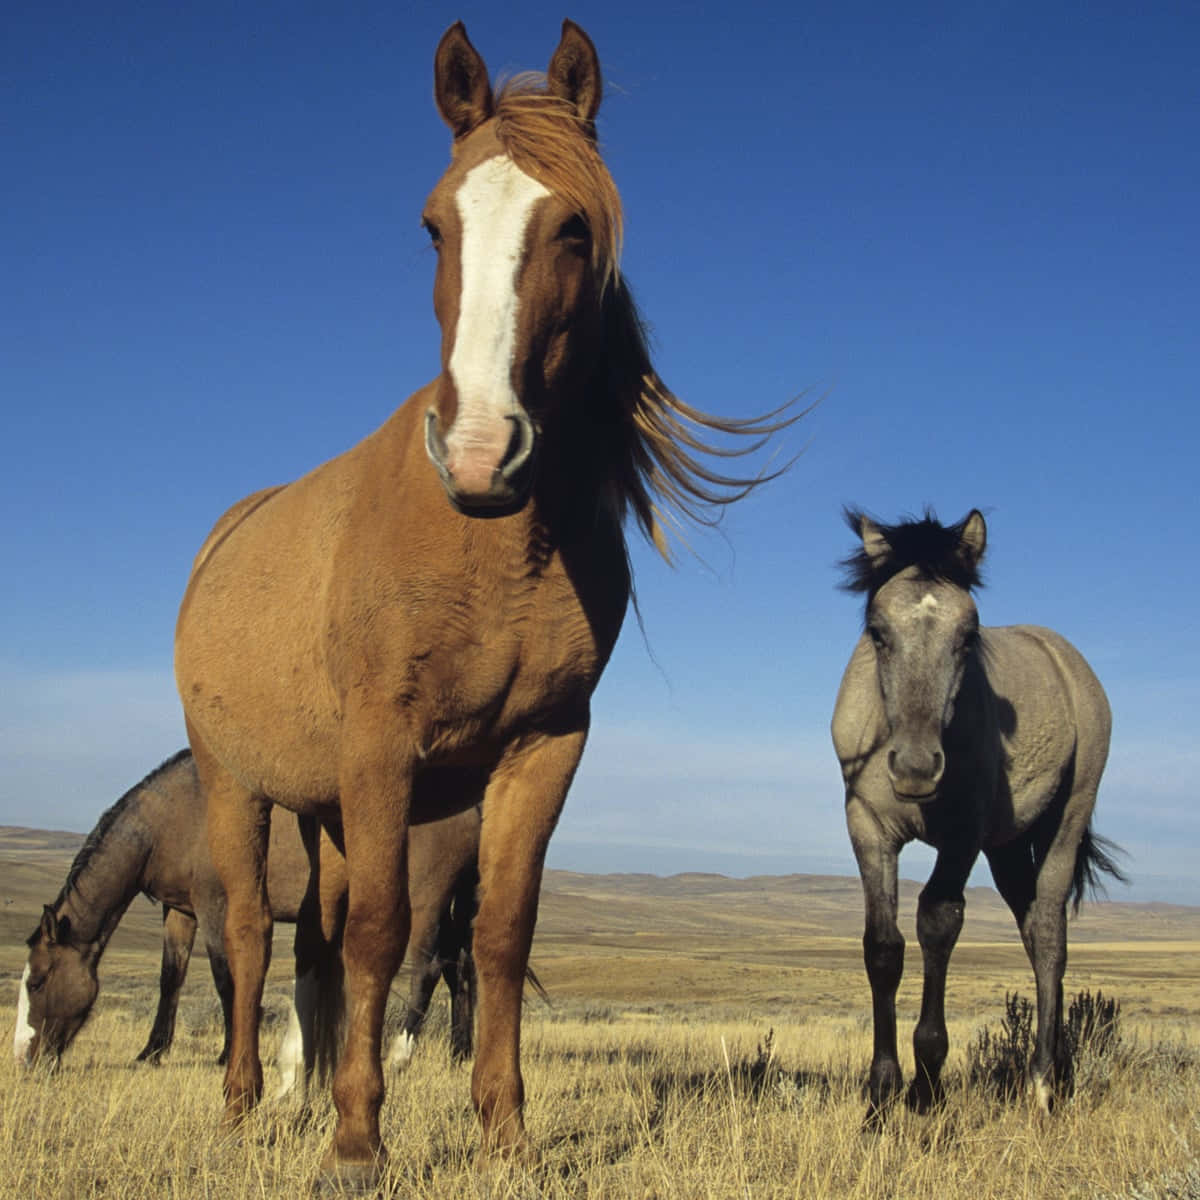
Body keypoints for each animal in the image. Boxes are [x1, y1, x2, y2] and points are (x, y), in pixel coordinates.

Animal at [14, 750, 481, 1086]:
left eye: (37, 982)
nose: (22, 1058)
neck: (177, 816)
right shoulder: (180, 910)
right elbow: (171, 979)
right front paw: (152, 1052)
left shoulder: (215, 905)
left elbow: (226, 977)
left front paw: (226, 1053)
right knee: (459, 971)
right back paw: (460, 1054)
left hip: (424, 902)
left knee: (426, 970)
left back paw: (400, 1054)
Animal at [173, 19, 796, 1187]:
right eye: (432, 227)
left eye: (575, 227)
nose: (478, 452)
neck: (487, 548)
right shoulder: (383, 744)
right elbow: (384, 930)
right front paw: (356, 1146)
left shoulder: (544, 745)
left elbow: (500, 933)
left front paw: (505, 1135)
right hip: (237, 783)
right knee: (247, 931)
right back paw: (240, 1108)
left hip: (324, 806)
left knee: (313, 934)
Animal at [831, 508, 1125, 1119]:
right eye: (877, 631)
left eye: (969, 635)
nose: (916, 767)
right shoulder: (867, 827)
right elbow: (883, 947)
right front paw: (881, 1095)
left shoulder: (962, 836)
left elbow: (937, 924)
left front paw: (927, 1087)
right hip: (1008, 848)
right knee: (1033, 929)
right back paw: (1057, 1071)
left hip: (1065, 824)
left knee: (1049, 936)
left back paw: (1042, 1084)